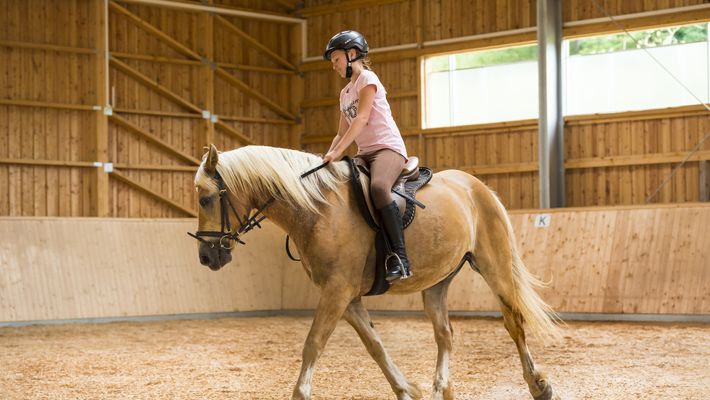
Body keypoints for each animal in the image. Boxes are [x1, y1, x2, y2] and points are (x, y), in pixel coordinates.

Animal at [191, 145, 560, 400]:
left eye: (206, 199)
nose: (206, 257)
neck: (319, 209)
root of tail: (477, 187)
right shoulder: (347, 298)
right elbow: (375, 345)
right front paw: (407, 390)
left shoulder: (337, 291)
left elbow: (313, 343)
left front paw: (300, 393)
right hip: (437, 284)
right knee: (445, 334)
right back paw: (442, 388)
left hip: (494, 266)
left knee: (514, 322)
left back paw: (539, 385)